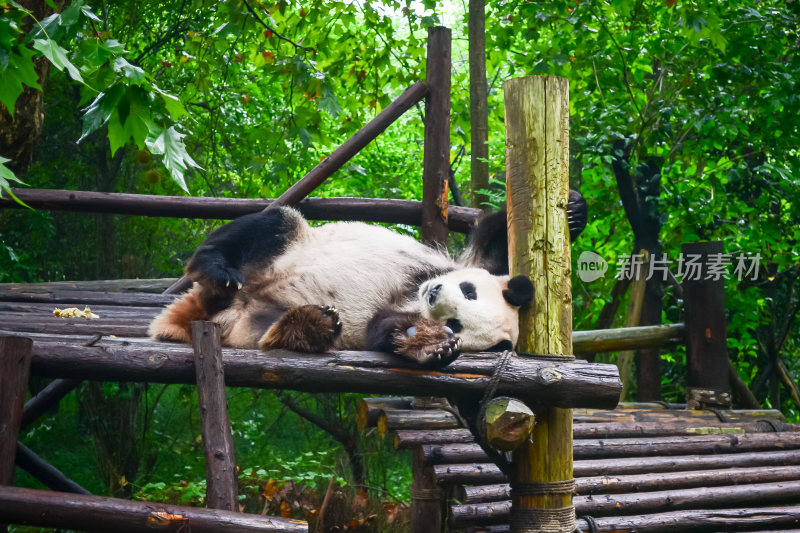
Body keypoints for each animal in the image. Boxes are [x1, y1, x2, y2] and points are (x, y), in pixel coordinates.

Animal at [148, 190, 588, 366]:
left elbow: (384, 328)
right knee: (271, 224)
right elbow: (490, 245)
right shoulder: (451, 262)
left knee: (265, 334)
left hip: (249, 323)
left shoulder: (394, 311)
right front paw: (573, 211)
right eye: (468, 291)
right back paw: (218, 269)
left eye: (456, 323)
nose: (434, 295)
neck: (413, 292)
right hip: (286, 245)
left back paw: (308, 326)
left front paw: (429, 347)